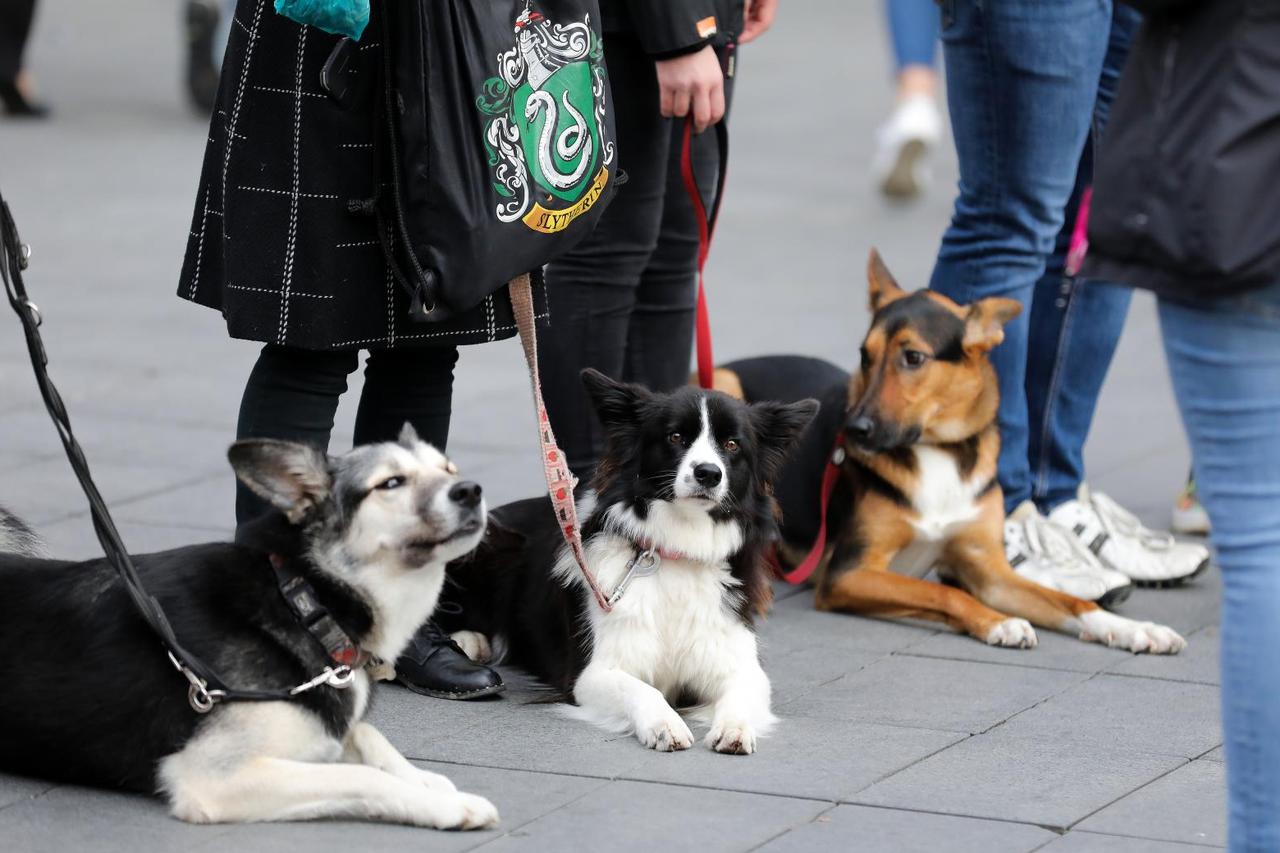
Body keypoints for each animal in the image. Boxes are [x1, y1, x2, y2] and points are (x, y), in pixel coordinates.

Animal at [0, 426, 501, 829]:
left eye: (448, 469)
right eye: (390, 483)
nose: (472, 490)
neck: (303, 602)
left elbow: (365, 734)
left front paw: (428, 781)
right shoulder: (211, 775)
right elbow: (359, 774)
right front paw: (448, 806)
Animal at [437, 369, 817, 754]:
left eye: (732, 445)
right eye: (675, 437)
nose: (708, 473)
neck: (678, 549)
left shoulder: (739, 664)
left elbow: (740, 692)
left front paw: (735, 728)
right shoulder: (591, 673)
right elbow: (641, 689)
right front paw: (665, 724)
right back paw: (468, 642)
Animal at [710, 250, 1185, 655]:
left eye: (913, 357)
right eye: (865, 356)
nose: (855, 430)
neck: (934, 449)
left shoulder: (992, 572)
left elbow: (1071, 602)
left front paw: (1131, 628)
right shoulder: (848, 573)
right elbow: (943, 591)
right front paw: (998, 622)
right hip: (726, 386)